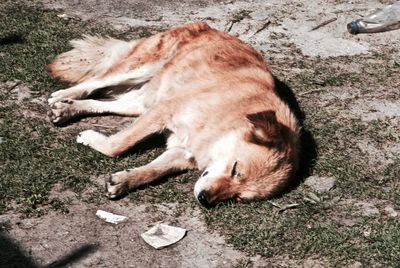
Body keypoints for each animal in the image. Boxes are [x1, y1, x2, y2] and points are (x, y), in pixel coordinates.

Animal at [47, 22, 300, 207]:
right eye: (235, 169)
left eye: (238, 197)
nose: (204, 200)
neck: (231, 115)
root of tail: (208, 26)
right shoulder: (165, 110)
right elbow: (118, 146)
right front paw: (92, 139)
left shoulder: (182, 152)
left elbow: (153, 170)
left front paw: (124, 181)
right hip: (139, 70)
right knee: (94, 82)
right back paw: (62, 95)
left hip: (143, 101)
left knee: (104, 102)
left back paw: (68, 108)